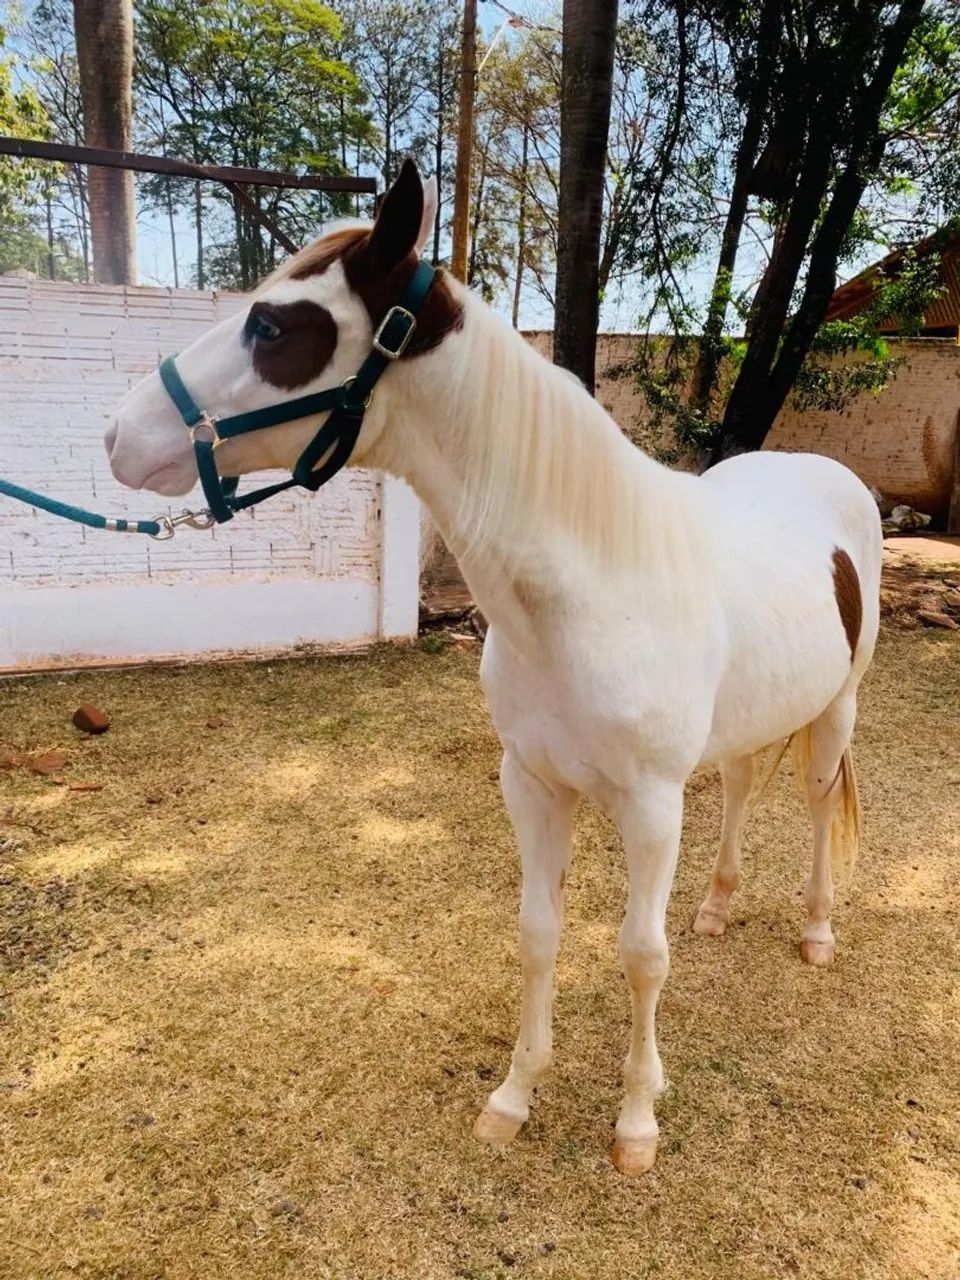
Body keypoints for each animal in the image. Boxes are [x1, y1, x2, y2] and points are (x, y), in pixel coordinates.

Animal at [104, 160, 881, 1176]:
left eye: (273, 326)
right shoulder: (533, 784)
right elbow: (538, 932)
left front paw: (637, 1121)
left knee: (821, 803)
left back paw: (818, 930)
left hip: (839, 708)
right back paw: (717, 906)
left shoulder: (650, 806)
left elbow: (641, 955)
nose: (118, 436)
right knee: (745, 783)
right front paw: (515, 1096)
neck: (593, 589)